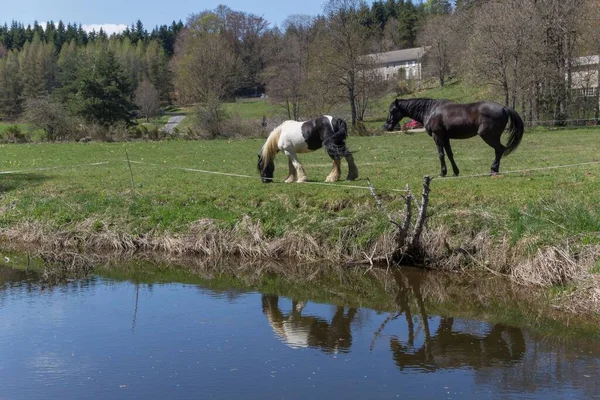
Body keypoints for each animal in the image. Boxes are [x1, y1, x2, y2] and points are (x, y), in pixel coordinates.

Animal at [386, 98, 524, 175]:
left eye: (392, 110)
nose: (387, 126)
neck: (431, 110)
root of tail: (504, 108)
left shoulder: (437, 136)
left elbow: (441, 154)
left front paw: (443, 172)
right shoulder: (445, 138)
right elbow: (450, 154)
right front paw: (455, 172)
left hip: (488, 136)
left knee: (499, 149)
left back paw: (493, 169)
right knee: (499, 150)